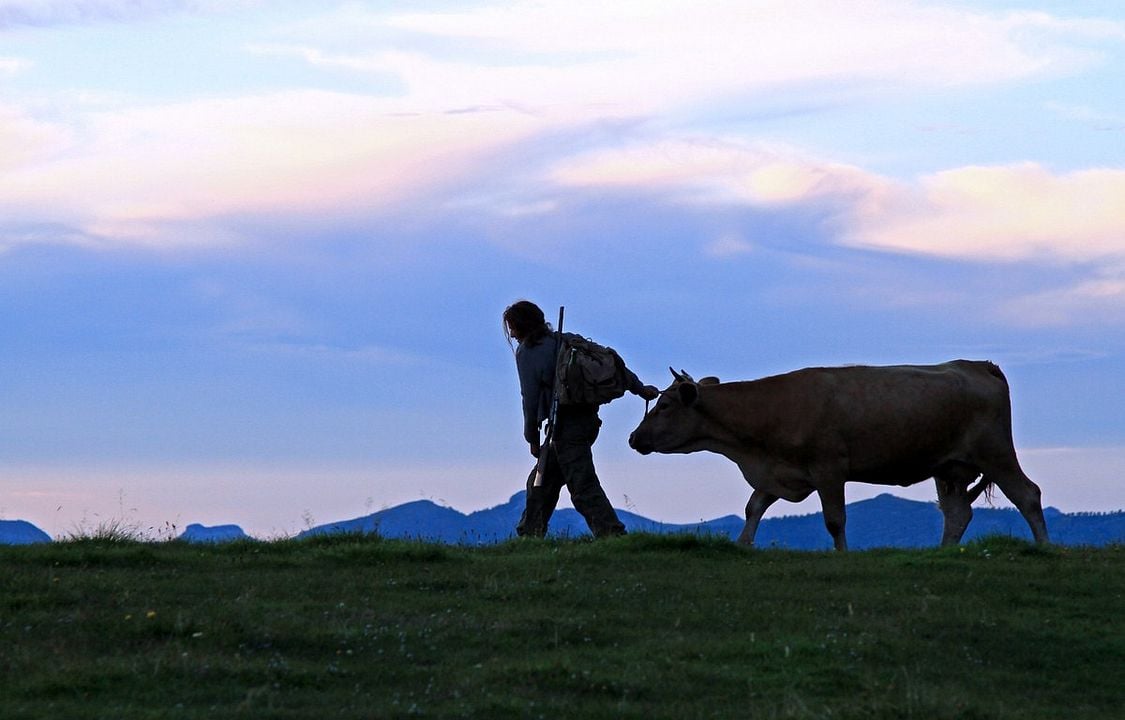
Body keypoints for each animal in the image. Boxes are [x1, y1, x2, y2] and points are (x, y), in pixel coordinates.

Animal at [630, 360, 1048, 551]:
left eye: (665, 405)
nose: (634, 438)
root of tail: (977, 365)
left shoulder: (828, 469)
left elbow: (834, 520)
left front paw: (842, 554)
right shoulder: (780, 472)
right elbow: (753, 507)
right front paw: (742, 546)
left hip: (995, 453)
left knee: (1028, 494)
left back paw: (1045, 547)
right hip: (949, 469)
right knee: (958, 512)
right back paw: (943, 553)